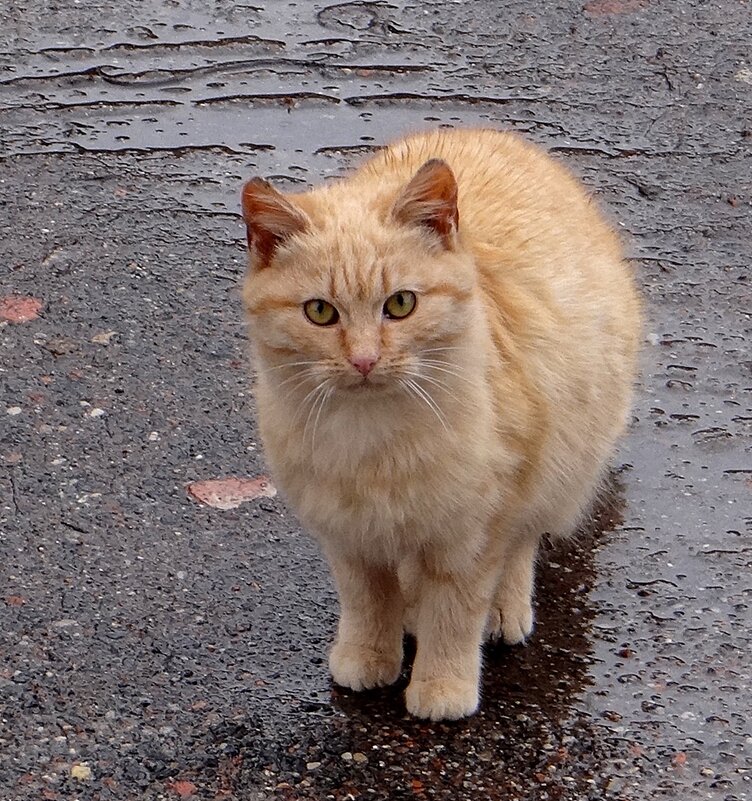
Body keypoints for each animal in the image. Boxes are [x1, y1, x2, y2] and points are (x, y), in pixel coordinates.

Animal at [241, 130, 640, 720]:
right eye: (320, 313)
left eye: (401, 304)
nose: (364, 361)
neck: (374, 438)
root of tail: (493, 133)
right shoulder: (349, 535)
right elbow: (366, 601)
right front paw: (369, 654)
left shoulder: (473, 532)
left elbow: (455, 613)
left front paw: (442, 684)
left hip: (560, 463)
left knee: (522, 545)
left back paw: (503, 610)